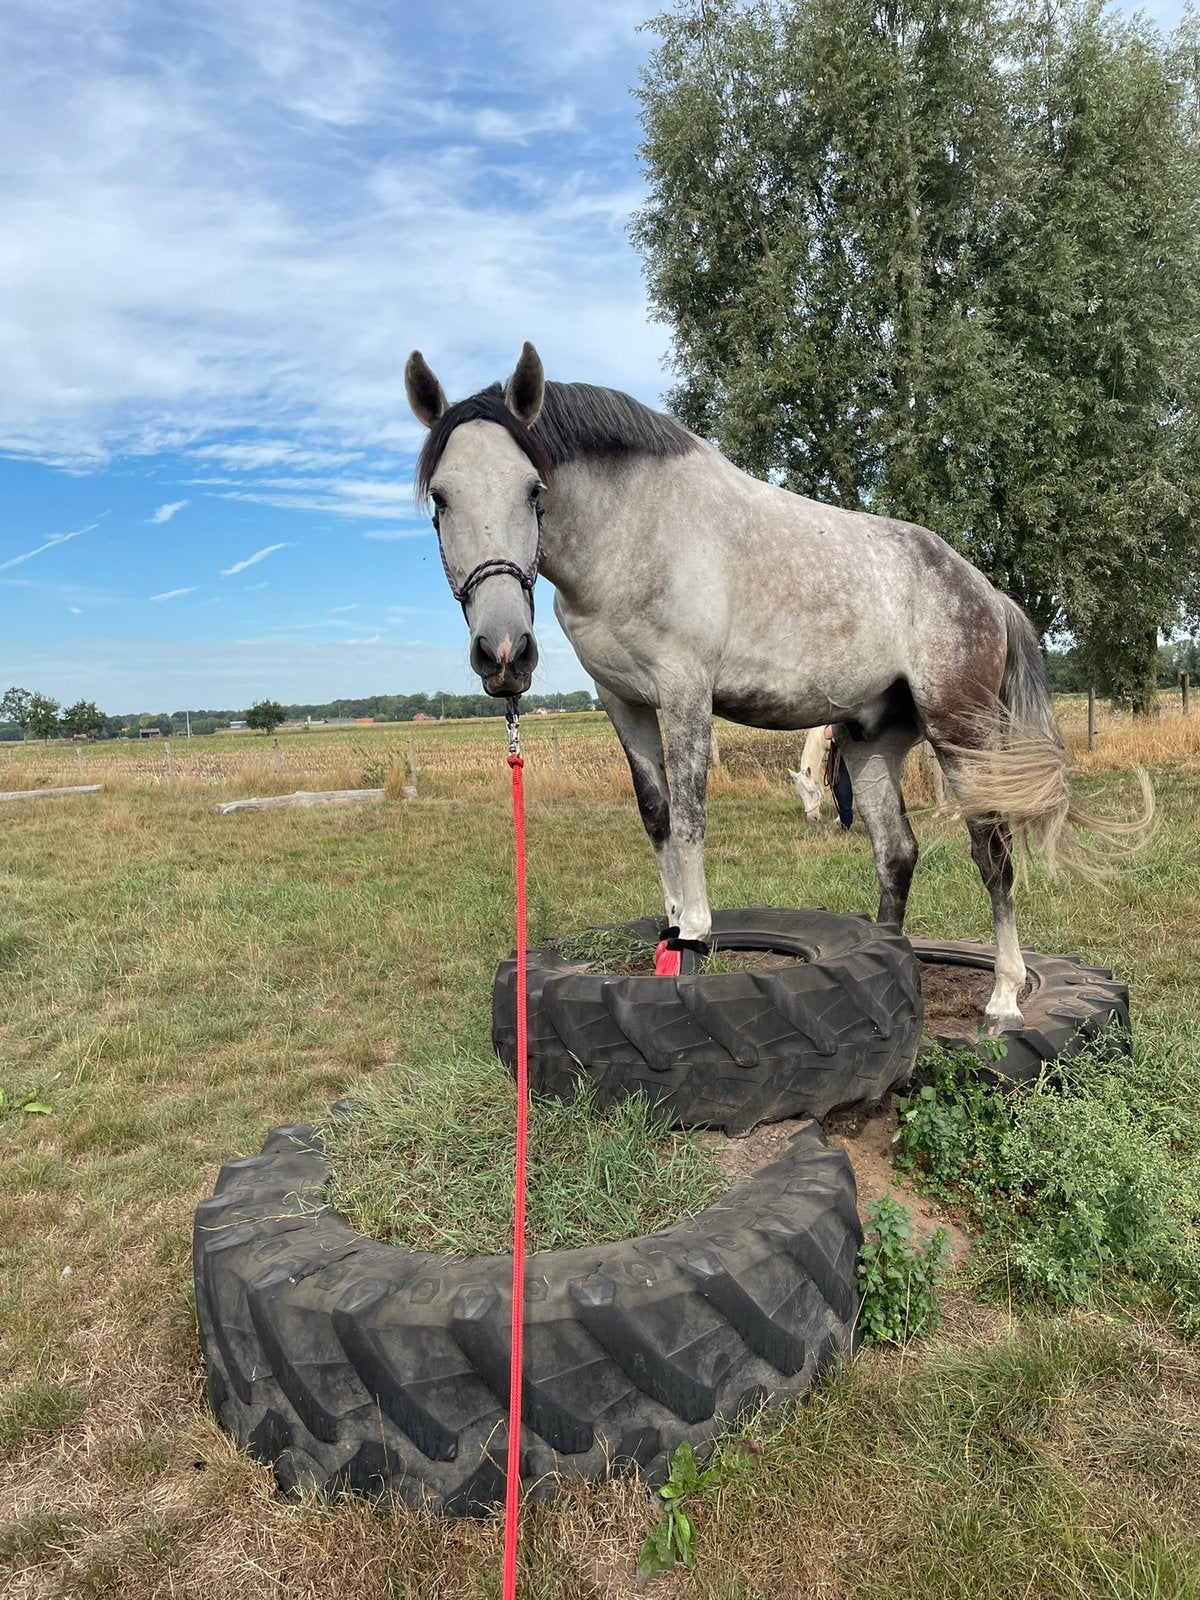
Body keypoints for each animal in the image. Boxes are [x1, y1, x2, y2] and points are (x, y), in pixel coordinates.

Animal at [405, 342, 1149, 1034]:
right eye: (440, 499)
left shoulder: (685, 693)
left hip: (963, 735)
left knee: (992, 854)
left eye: (535, 489)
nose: (504, 652)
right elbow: (657, 817)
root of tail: (985, 591)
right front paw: (670, 931)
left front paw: (694, 939)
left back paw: (1003, 999)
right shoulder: (623, 702)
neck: (635, 533)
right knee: (896, 852)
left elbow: (691, 815)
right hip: (870, 744)